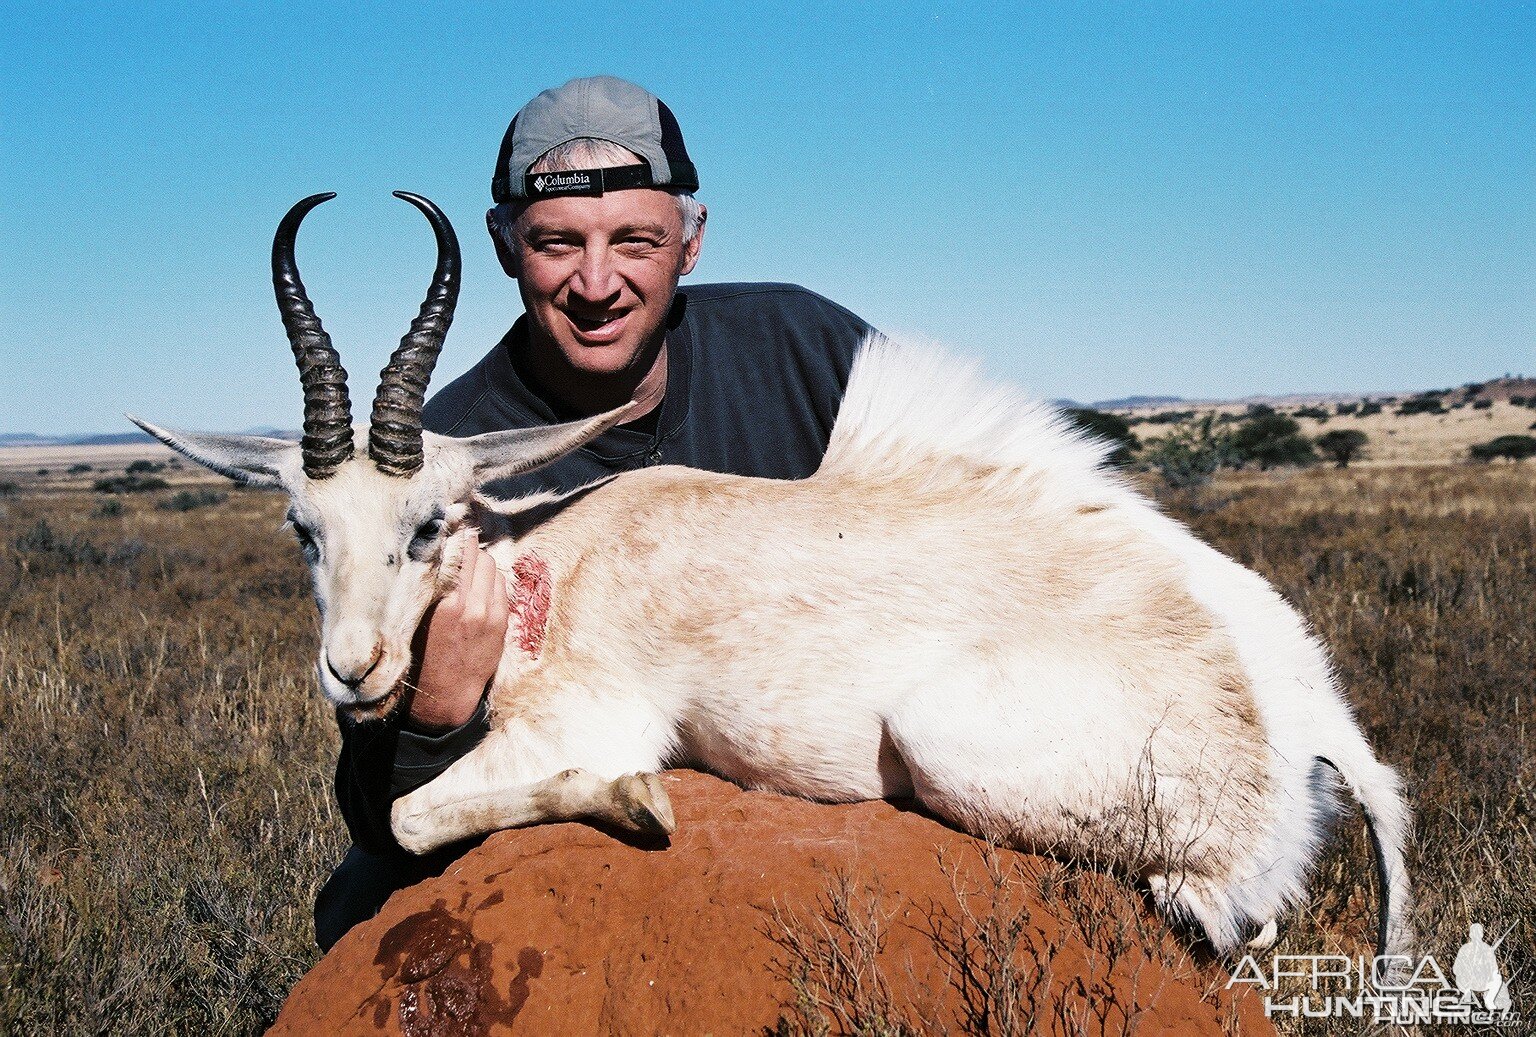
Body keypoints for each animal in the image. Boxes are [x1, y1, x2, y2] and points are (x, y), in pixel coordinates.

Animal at [135, 196, 1413, 964]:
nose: (353, 673)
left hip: (950, 744)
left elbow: (411, 808)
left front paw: (635, 804)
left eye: (427, 522)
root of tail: (1306, 722)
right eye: (304, 526)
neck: (551, 558)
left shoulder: (584, 719)